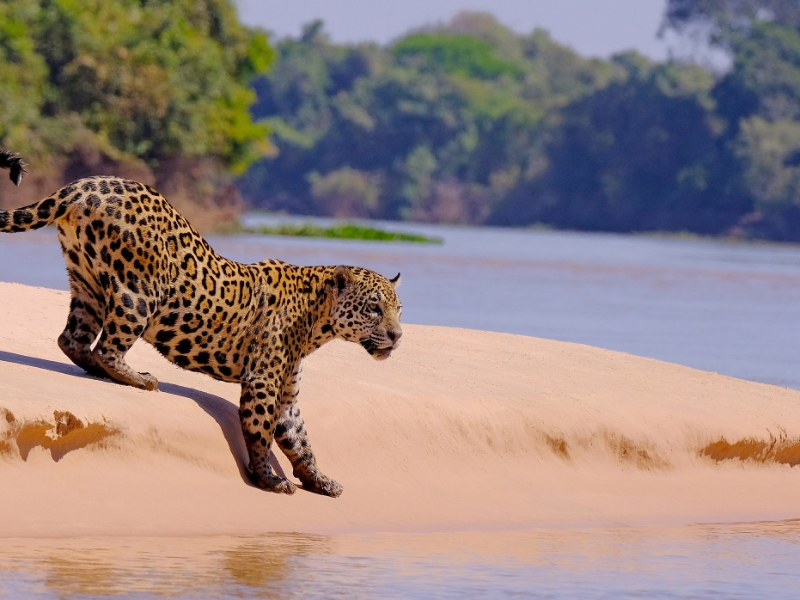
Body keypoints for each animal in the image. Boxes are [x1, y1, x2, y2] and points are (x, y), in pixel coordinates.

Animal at [0, 151, 403, 497]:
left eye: (399, 310)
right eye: (373, 309)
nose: (398, 335)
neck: (317, 318)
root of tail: (85, 184)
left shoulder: (287, 392)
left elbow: (300, 440)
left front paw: (320, 479)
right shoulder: (262, 380)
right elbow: (261, 432)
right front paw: (269, 479)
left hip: (86, 281)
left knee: (72, 339)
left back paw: (99, 370)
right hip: (139, 290)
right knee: (108, 347)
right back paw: (140, 379)